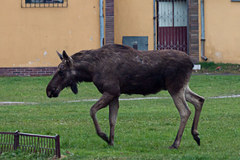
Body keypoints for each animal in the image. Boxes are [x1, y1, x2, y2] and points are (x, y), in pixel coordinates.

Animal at [46, 43, 204, 149]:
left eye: (61, 71)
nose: (49, 90)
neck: (90, 71)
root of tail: (192, 63)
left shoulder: (111, 91)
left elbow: (92, 110)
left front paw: (104, 136)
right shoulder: (115, 94)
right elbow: (112, 119)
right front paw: (111, 141)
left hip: (175, 87)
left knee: (185, 111)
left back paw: (176, 143)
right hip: (183, 87)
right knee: (199, 100)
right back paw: (196, 135)